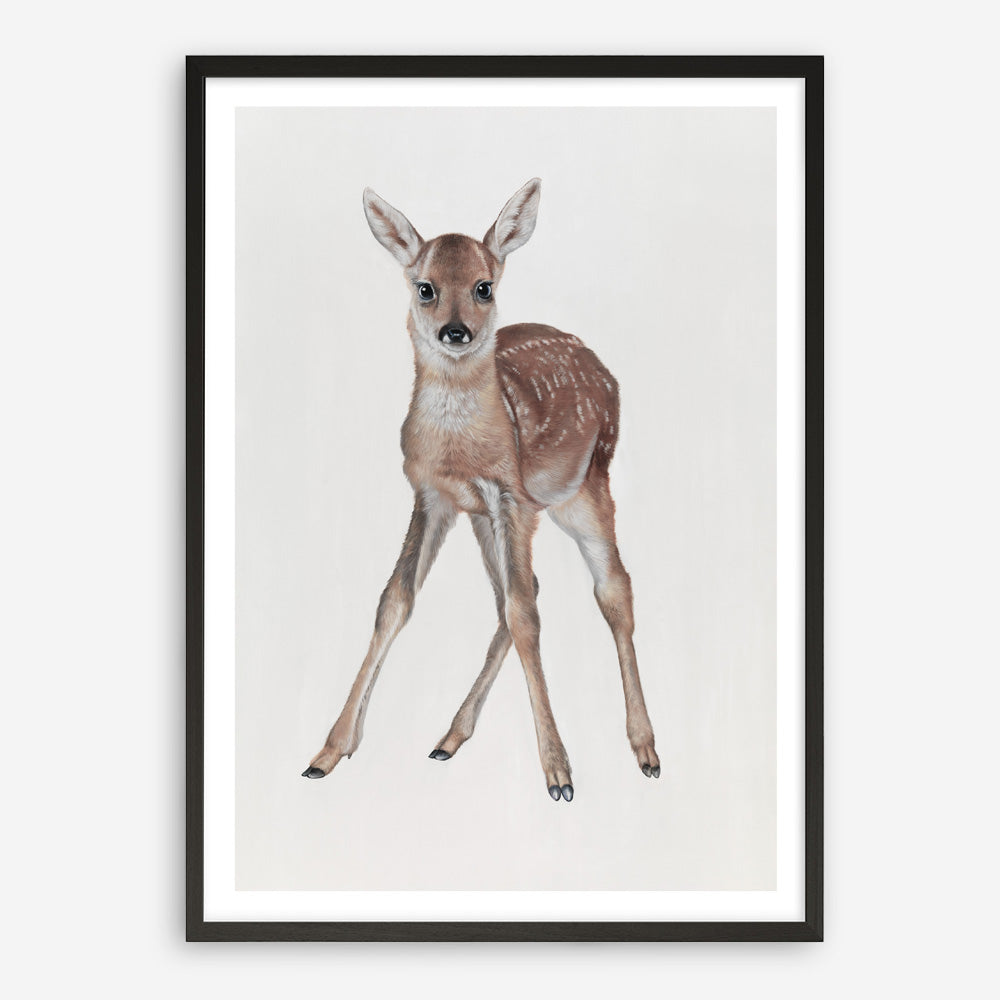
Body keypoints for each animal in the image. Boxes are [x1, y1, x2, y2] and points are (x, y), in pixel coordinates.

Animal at [302, 179, 659, 802]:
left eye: (483, 287)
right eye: (425, 288)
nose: (456, 331)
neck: (460, 447)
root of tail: (605, 371)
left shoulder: (510, 495)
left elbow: (525, 616)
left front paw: (559, 773)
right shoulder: (434, 496)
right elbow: (396, 600)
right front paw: (329, 750)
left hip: (585, 489)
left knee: (612, 589)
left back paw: (645, 749)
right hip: (489, 518)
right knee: (521, 592)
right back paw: (449, 738)